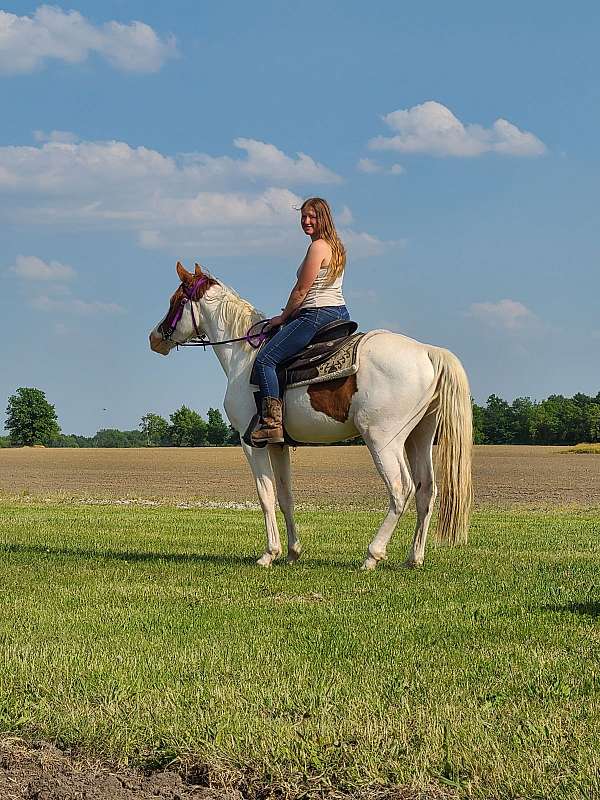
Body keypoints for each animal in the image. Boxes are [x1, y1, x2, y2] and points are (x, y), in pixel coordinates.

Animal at [150, 262, 474, 568]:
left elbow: (265, 496)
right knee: (426, 490)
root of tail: (427, 352)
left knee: (400, 489)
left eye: (175, 300)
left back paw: (373, 555)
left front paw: (269, 553)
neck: (243, 356)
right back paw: (413, 558)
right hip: (419, 437)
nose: (154, 338)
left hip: (383, 440)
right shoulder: (278, 445)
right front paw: (293, 552)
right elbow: (285, 497)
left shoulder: (251, 443)